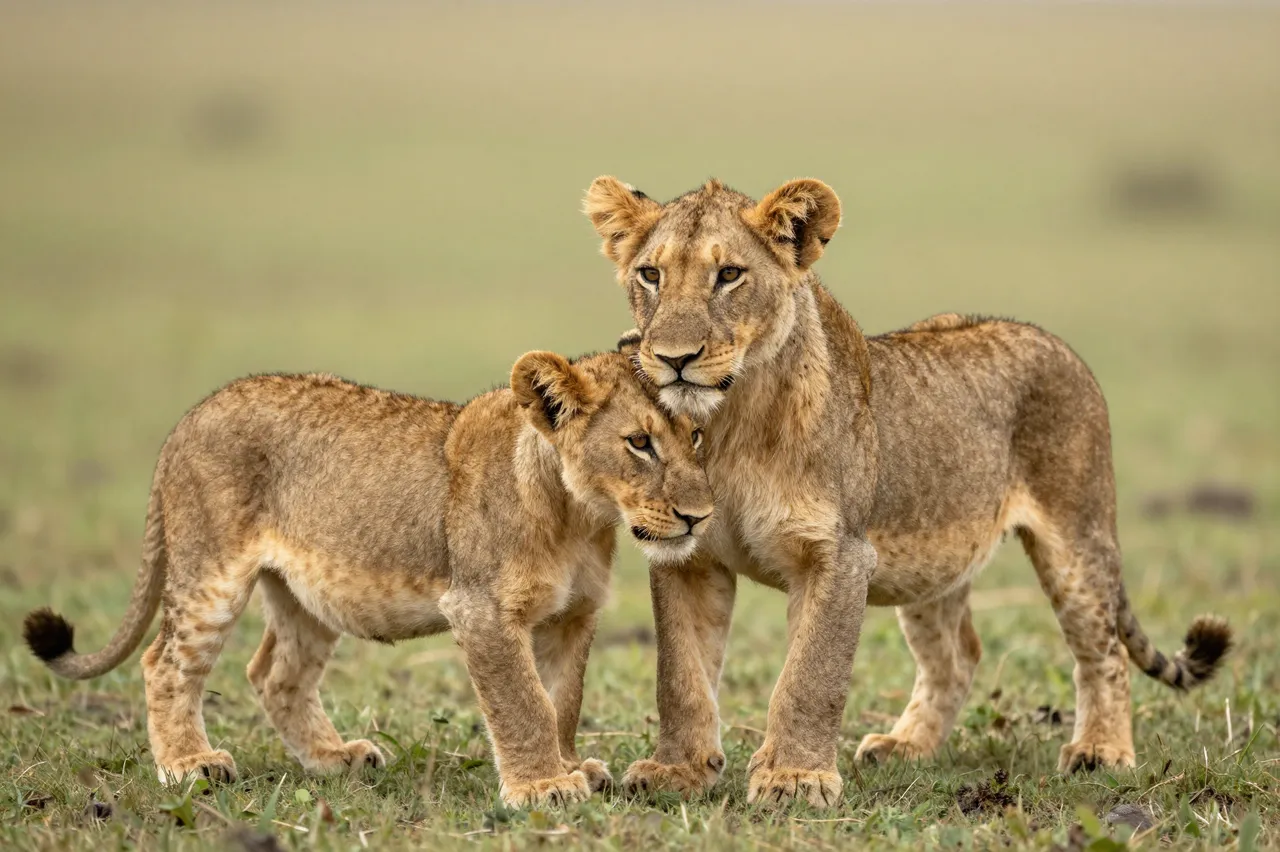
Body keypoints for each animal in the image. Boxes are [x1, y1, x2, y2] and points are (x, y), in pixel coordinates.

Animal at [23, 350, 713, 808]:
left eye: (698, 436)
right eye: (639, 443)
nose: (700, 516)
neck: (580, 517)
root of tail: (189, 417)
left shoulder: (572, 616)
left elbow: (560, 701)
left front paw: (570, 767)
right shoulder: (482, 610)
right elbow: (523, 705)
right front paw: (543, 786)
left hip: (306, 592)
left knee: (275, 674)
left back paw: (335, 759)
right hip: (210, 575)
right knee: (164, 662)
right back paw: (189, 766)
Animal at [584, 176, 1231, 808]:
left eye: (729, 275)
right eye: (651, 274)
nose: (674, 359)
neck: (729, 421)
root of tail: (1052, 341)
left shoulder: (841, 554)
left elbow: (809, 676)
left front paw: (794, 778)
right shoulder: (686, 554)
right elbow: (681, 675)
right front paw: (678, 770)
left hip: (1076, 538)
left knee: (1104, 651)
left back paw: (1102, 751)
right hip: (931, 561)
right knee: (957, 654)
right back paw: (906, 745)